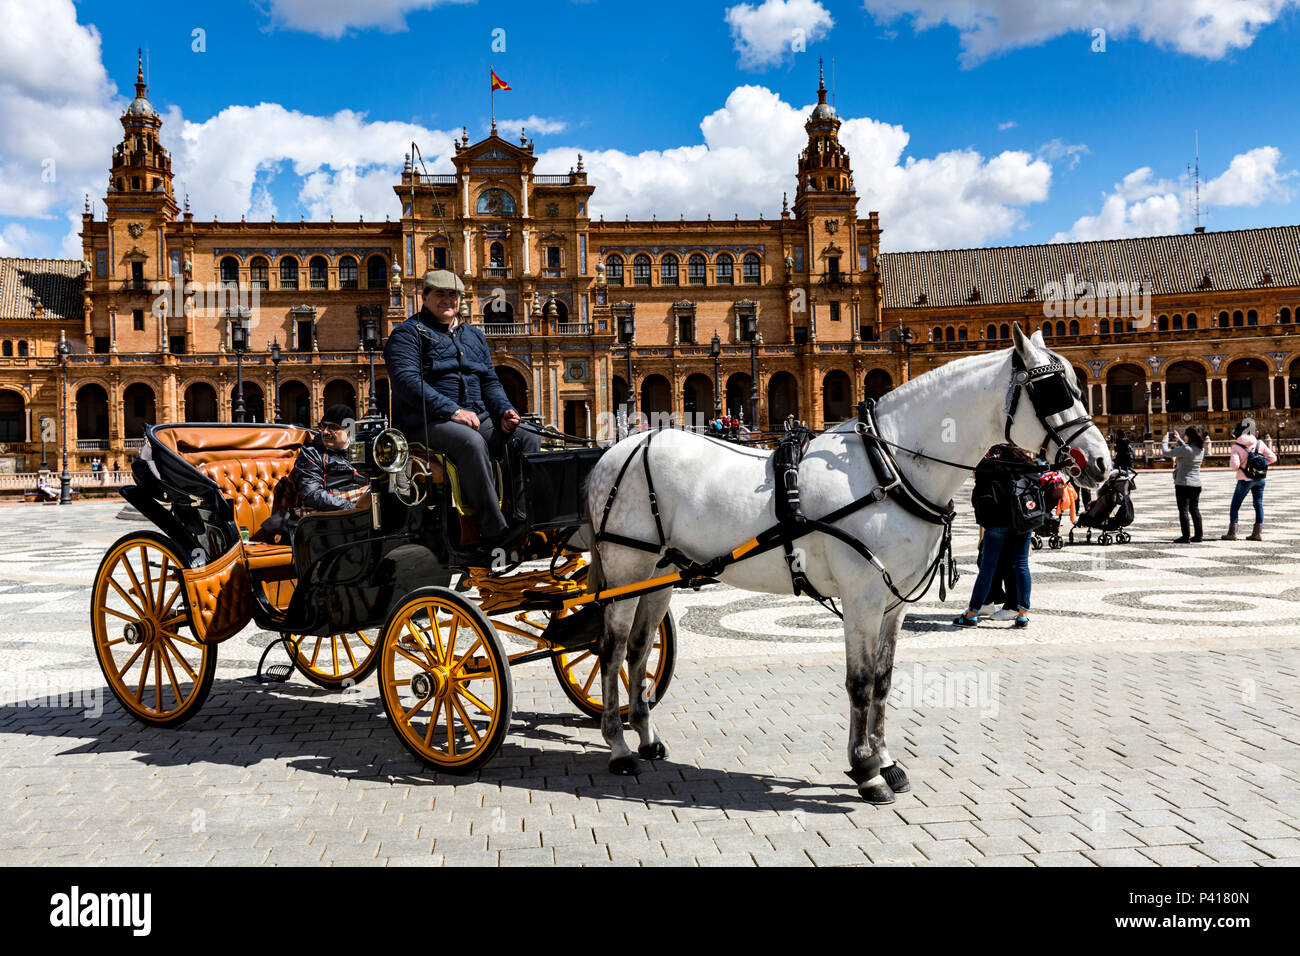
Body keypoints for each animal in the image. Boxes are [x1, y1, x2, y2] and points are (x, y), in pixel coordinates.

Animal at [585, 325, 1112, 806]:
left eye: (1077, 384)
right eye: (1054, 390)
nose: (1102, 463)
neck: (889, 469)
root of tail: (615, 451)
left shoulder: (894, 602)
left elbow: (883, 681)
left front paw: (886, 760)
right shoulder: (862, 597)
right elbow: (859, 682)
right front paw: (865, 770)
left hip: (659, 575)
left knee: (639, 650)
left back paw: (647, 738)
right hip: (626, 569)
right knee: (611, 652)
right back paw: (619, 748)